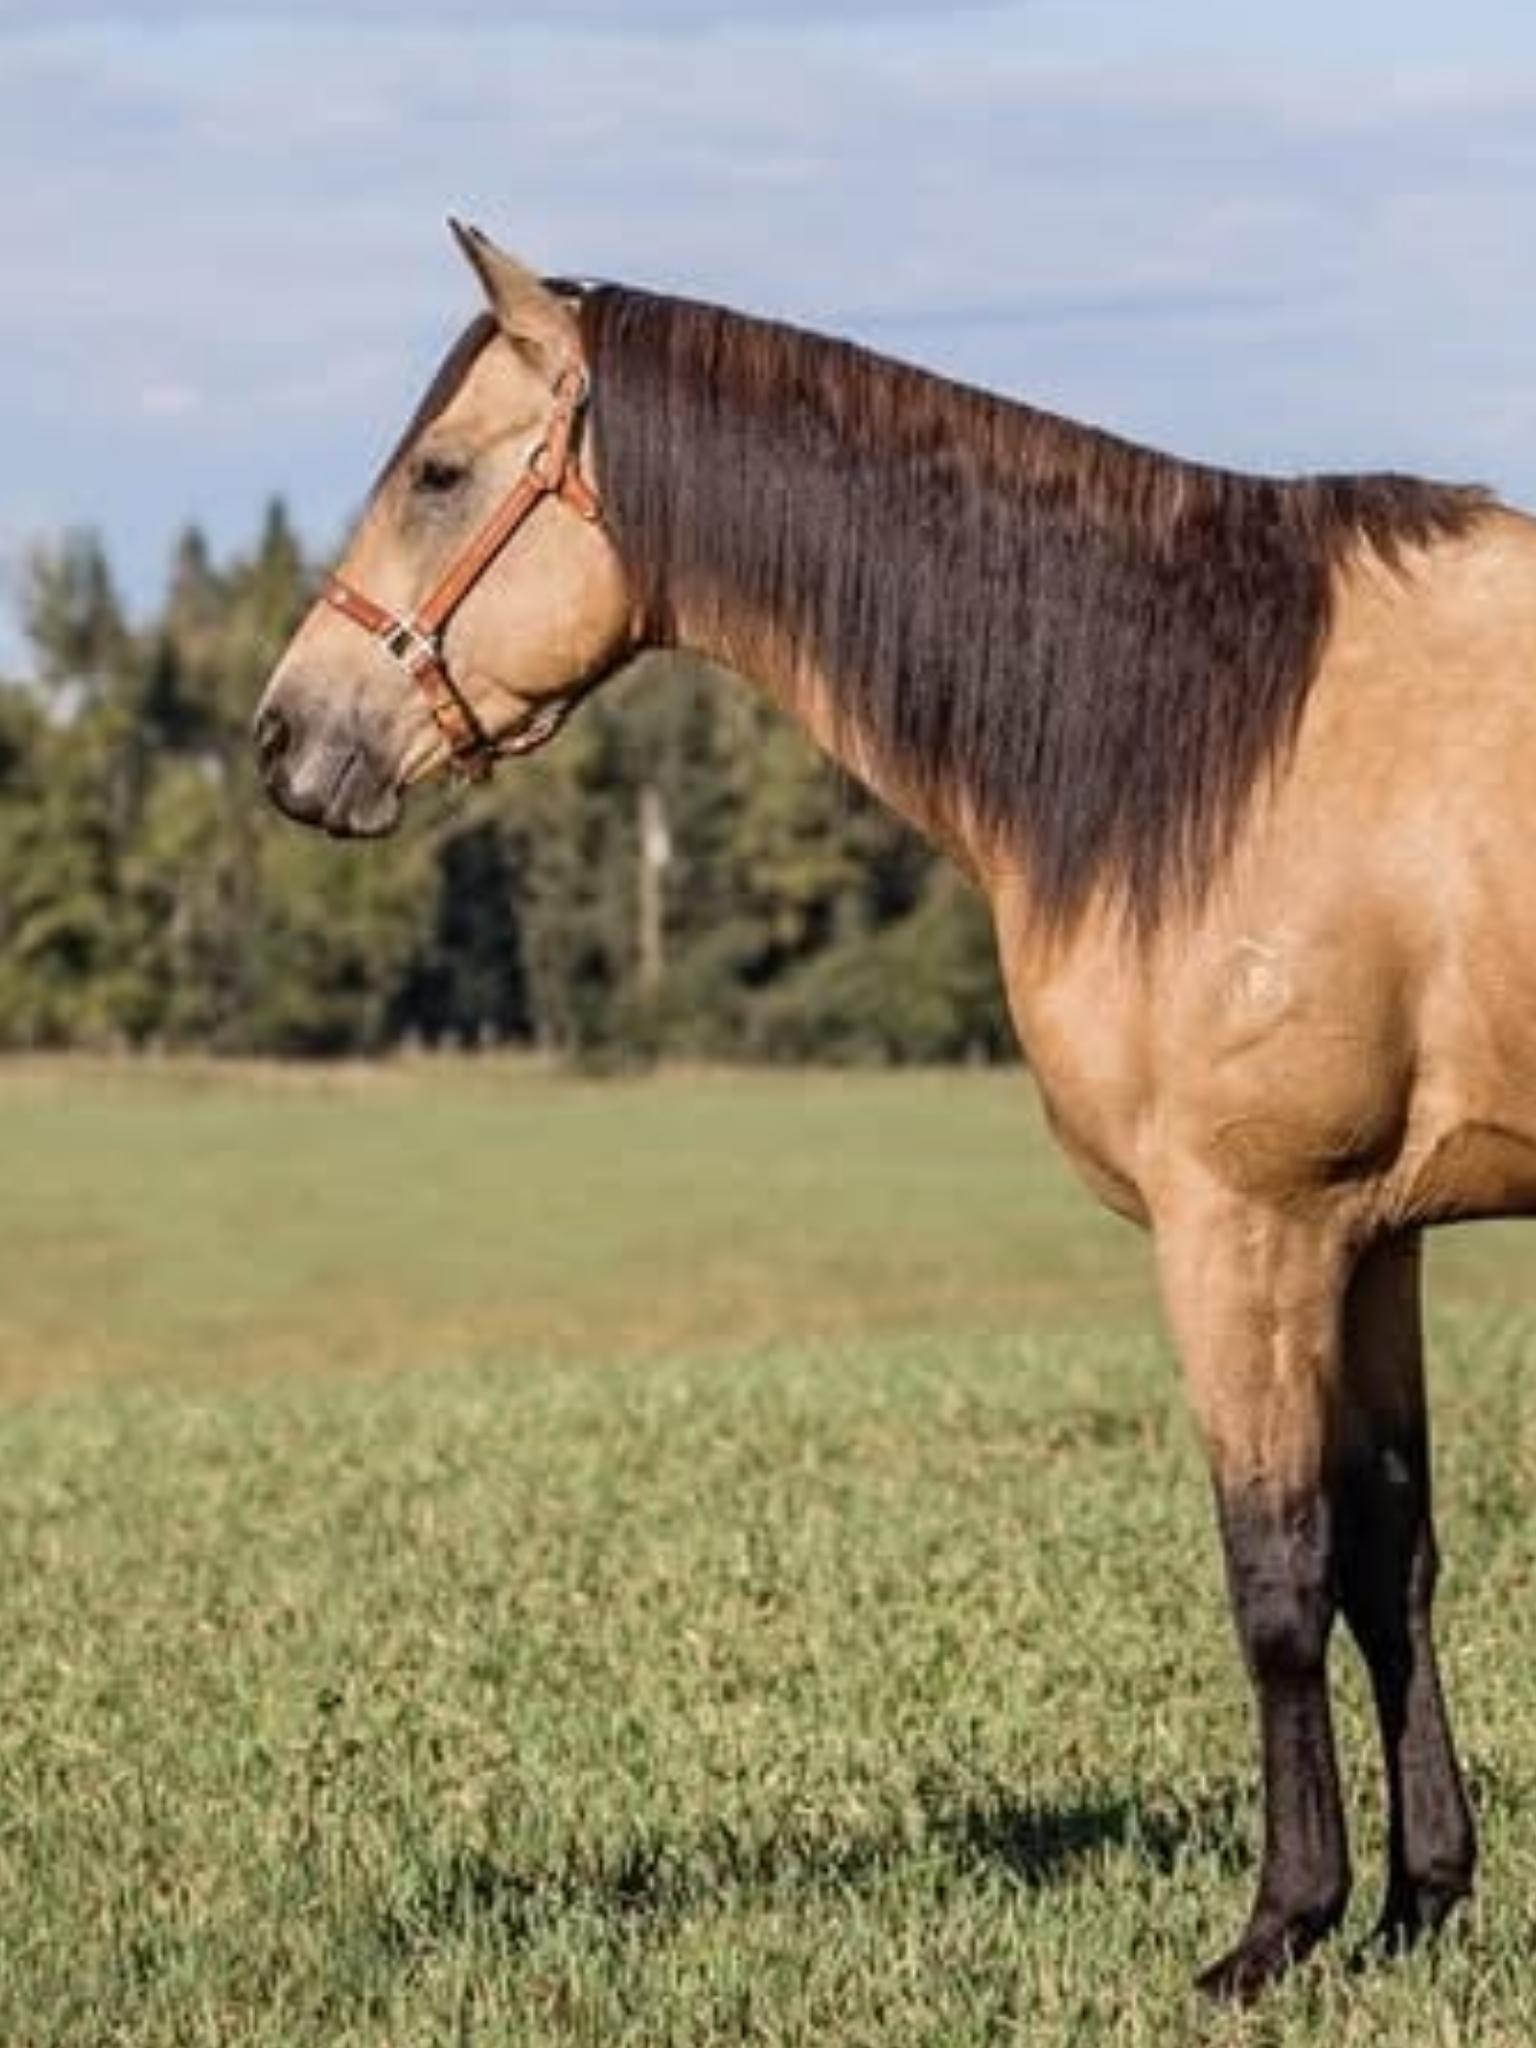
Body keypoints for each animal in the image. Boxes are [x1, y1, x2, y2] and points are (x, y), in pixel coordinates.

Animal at [253, 220, 1536, 2002]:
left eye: (441, 471)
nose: (285, 738)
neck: (1210, 736)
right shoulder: (1371, 1237)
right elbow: (1385, 1561)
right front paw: (1419, 1905)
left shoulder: (1247, 1232)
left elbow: (1275, 1579)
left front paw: (1279, 1927)